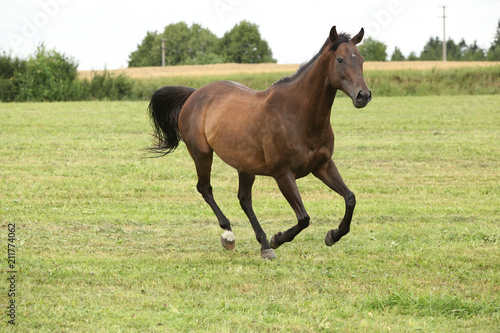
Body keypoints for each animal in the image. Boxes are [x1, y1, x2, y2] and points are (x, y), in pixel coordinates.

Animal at [148, 26, 372, 260]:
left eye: (361, 59)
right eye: (340, 59)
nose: (363, 95)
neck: (295, 114)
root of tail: (194, 94)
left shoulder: (322, 166)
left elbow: (350, 198)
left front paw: (333, 235)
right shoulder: (282, 173)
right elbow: (303, 218)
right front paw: (277, 239)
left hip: (245, 166)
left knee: (244, 199)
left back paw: (263, 243)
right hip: (202, 154)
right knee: (205, 188)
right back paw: (230, 235)